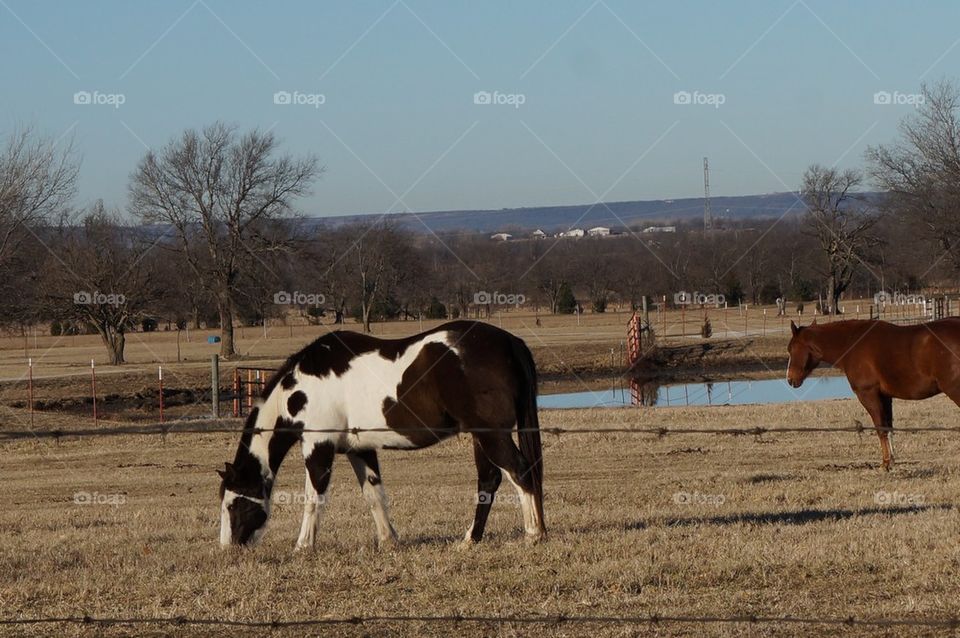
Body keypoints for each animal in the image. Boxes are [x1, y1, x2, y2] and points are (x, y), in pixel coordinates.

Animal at [219, 322, 548, 552]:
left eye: (233, 504)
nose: (228, 547)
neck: (302, 388)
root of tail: (510, 342)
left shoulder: (318, 448)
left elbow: (313, 499)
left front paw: (303, 546)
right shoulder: (359, 449)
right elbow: (373, 494)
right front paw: (388, 540)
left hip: (492, 435)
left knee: (519, 471)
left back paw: (534, 534)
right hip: (482, 437)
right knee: (489, 480)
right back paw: (471, 539)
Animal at [784, 318, 960, 472]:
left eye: (790, 349)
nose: (790, 379)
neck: (851, 342)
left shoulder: (868, 394)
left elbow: (880, 428)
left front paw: (885, 464)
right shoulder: (885, 397)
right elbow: (888, 426)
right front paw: (892, 461)